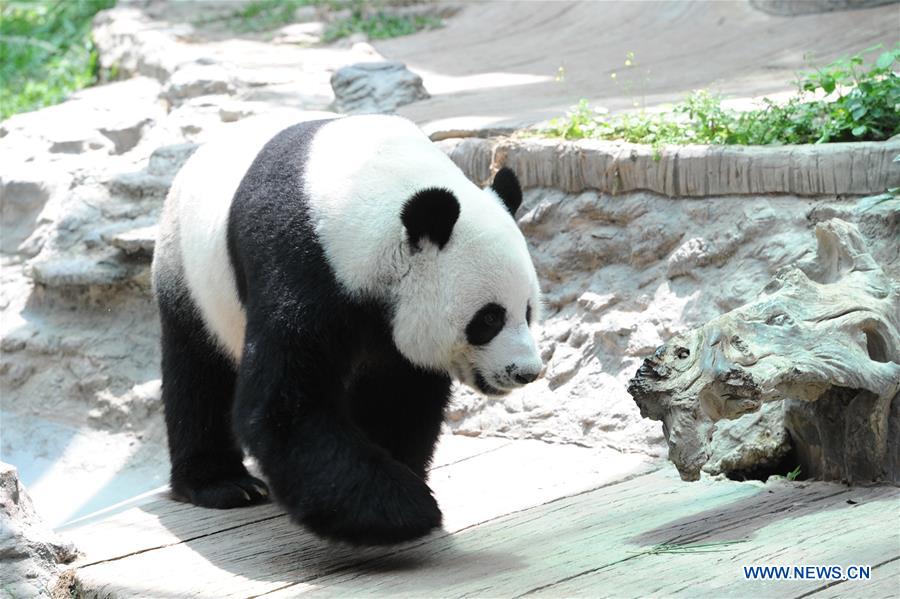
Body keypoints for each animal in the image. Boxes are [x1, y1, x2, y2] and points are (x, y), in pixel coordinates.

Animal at [151, 113, 540, 548]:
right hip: (191, 276)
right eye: (488, 319)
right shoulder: (300, 263)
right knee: (197, 374)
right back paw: (224, 484)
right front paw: (401, 510)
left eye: (527, 310)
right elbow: (287, 405)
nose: (526, 372)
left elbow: (398, 395)